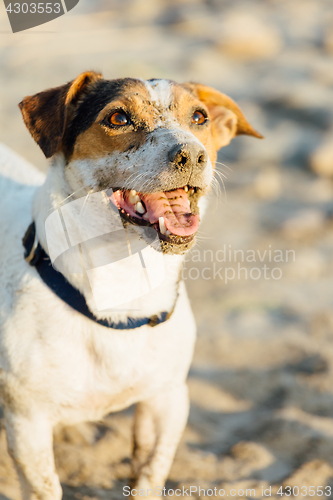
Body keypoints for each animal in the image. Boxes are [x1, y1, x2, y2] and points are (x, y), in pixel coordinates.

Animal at [0, 71, 260, 500]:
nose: (192, 155)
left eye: (200, 117)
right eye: (118, 118)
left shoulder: (166, 400)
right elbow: (45, 485)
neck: (123, 285)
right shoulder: (27, 425)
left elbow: (149, 474)